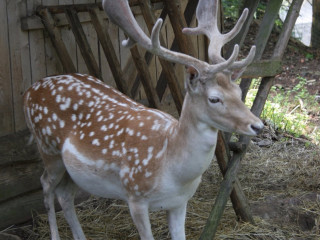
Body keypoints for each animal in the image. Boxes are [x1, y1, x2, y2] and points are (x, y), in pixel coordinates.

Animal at [23, 0, 264, 239]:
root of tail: (29, 91)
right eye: (214, 98)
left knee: (65, 194)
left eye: (238, 92)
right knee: (46, 185)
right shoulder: (135, 196)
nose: (258, 125)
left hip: (72, 170)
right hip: (48, 149)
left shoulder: (180, 202)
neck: (174, 171)